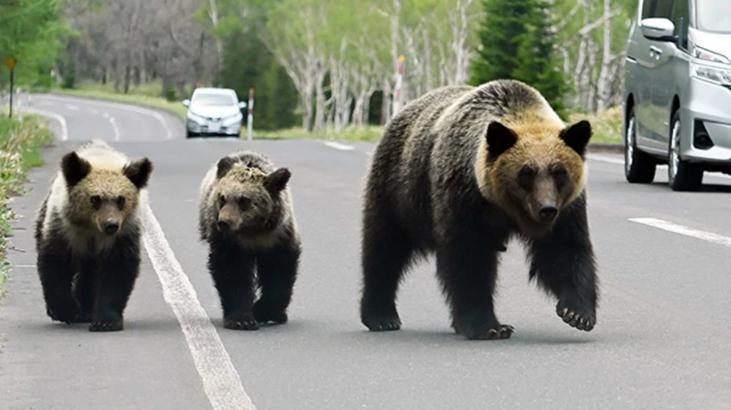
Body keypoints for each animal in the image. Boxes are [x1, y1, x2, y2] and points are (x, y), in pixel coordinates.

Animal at [36, 140, 154, 330]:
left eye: (121, 199)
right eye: (95, 198)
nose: (111, 225)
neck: (92, 229)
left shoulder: (123, 234)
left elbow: (116, 270)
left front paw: (106, 321)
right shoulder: (64, 229)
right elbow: (56, 264)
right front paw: (65, 310)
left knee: (89, 276)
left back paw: (86, 310)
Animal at [197, 152, 300, 332]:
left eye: (244, 200)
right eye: (222, 198)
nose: (224, 222)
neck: (252, 231)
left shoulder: (278, 236)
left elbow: (279, 271)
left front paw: (263, 311)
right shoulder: (230, 242)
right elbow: (233, 273)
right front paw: (242, 319)